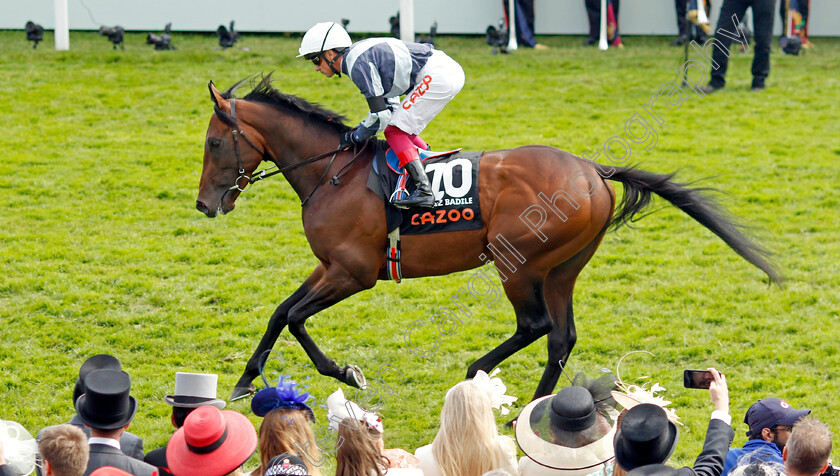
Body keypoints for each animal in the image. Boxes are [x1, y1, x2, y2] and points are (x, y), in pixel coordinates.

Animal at [197, 76, 780, 404]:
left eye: (212, 143)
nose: (205, 204)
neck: (333, 173)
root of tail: (592, 169)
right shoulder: (329, 266)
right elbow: (280, 313)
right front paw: (244, 381)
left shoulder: (354, 273)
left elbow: (297, 318)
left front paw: (346, 372)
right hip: (563, 268)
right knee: (561, 336)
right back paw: (537, 409)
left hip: (517, 261)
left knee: (536, 325)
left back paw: (476, 371)